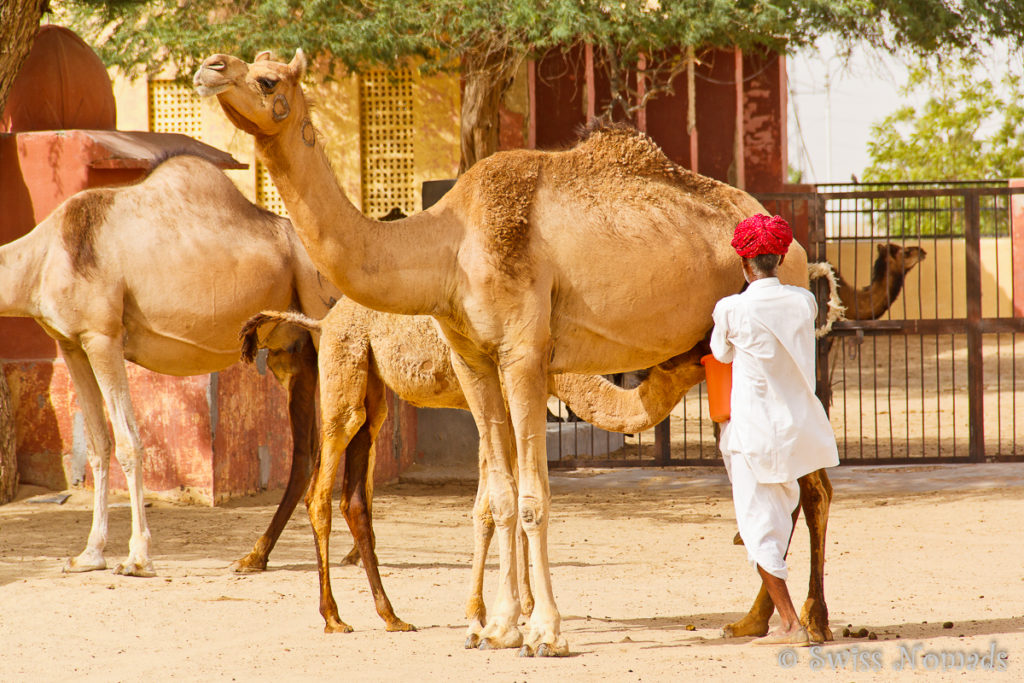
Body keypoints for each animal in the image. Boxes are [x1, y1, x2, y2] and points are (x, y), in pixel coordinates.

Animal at [0, 154, 333, 577]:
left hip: (323, 308)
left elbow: (129, 443)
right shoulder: (71, 343)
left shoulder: (102, 336)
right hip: (291, 349)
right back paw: (258, 556)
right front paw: (89, 555)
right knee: (308, 450)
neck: (40, 258)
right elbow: (97, 445)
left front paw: (138, 558)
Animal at [195, 50, 835, 655]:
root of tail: (797, 247)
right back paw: (755, 621)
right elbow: (499, 498)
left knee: (808, 484)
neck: (445, 246)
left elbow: (531, 496)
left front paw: (545, 632)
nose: (210, 68)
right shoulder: (474, 358)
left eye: (269, 79)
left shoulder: (525, 351)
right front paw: (499, 627)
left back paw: (811, 621)